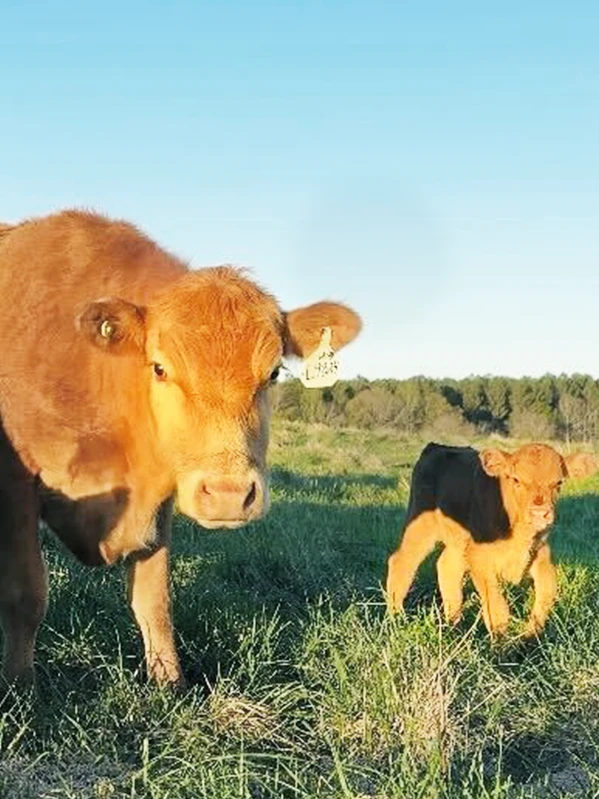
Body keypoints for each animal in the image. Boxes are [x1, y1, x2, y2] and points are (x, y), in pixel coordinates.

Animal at [0, 211, 360, 688]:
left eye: (274, 374)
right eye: (160, 368)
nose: (229, 495)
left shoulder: (160, 497)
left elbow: (154, 600)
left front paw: (169, 682)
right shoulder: (16, 486)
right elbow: (26, 596)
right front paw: (21, 688)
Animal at [386, 444, 596, 636]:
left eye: (559, 482)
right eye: (516, 479)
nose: (539, 513)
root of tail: (436, 447)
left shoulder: (541, 554)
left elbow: (546, 594)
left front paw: (530, 637)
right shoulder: (480, 558)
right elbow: (497, 608)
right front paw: (502, 646)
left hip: (458, 543)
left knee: (447, 566)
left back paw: (454, 625)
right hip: (420, 527)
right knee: (402, 562)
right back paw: (396, 619)